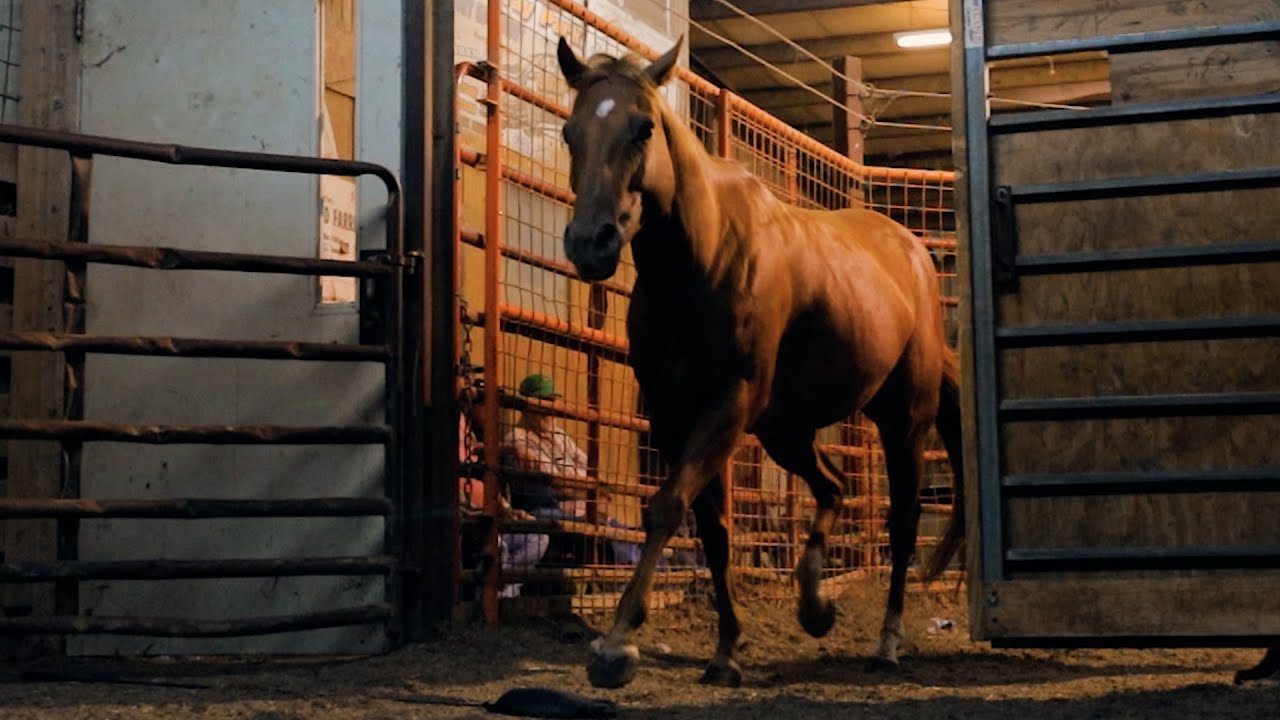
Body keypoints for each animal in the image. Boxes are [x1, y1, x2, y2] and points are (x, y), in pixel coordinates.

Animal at [554, 35, 965, 689]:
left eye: (644, 127)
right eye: (571, 132)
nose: (590, 243)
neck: (698, 259)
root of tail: (916, 256)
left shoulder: (728, 404)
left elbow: (667, 506)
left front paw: (617, 645)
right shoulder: (673, 416)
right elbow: (714, 530)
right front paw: (725, 651)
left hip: (904, 420)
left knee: (901, 525)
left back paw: (887, 642)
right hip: (785, 431)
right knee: (833, 486)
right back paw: (815, 605)